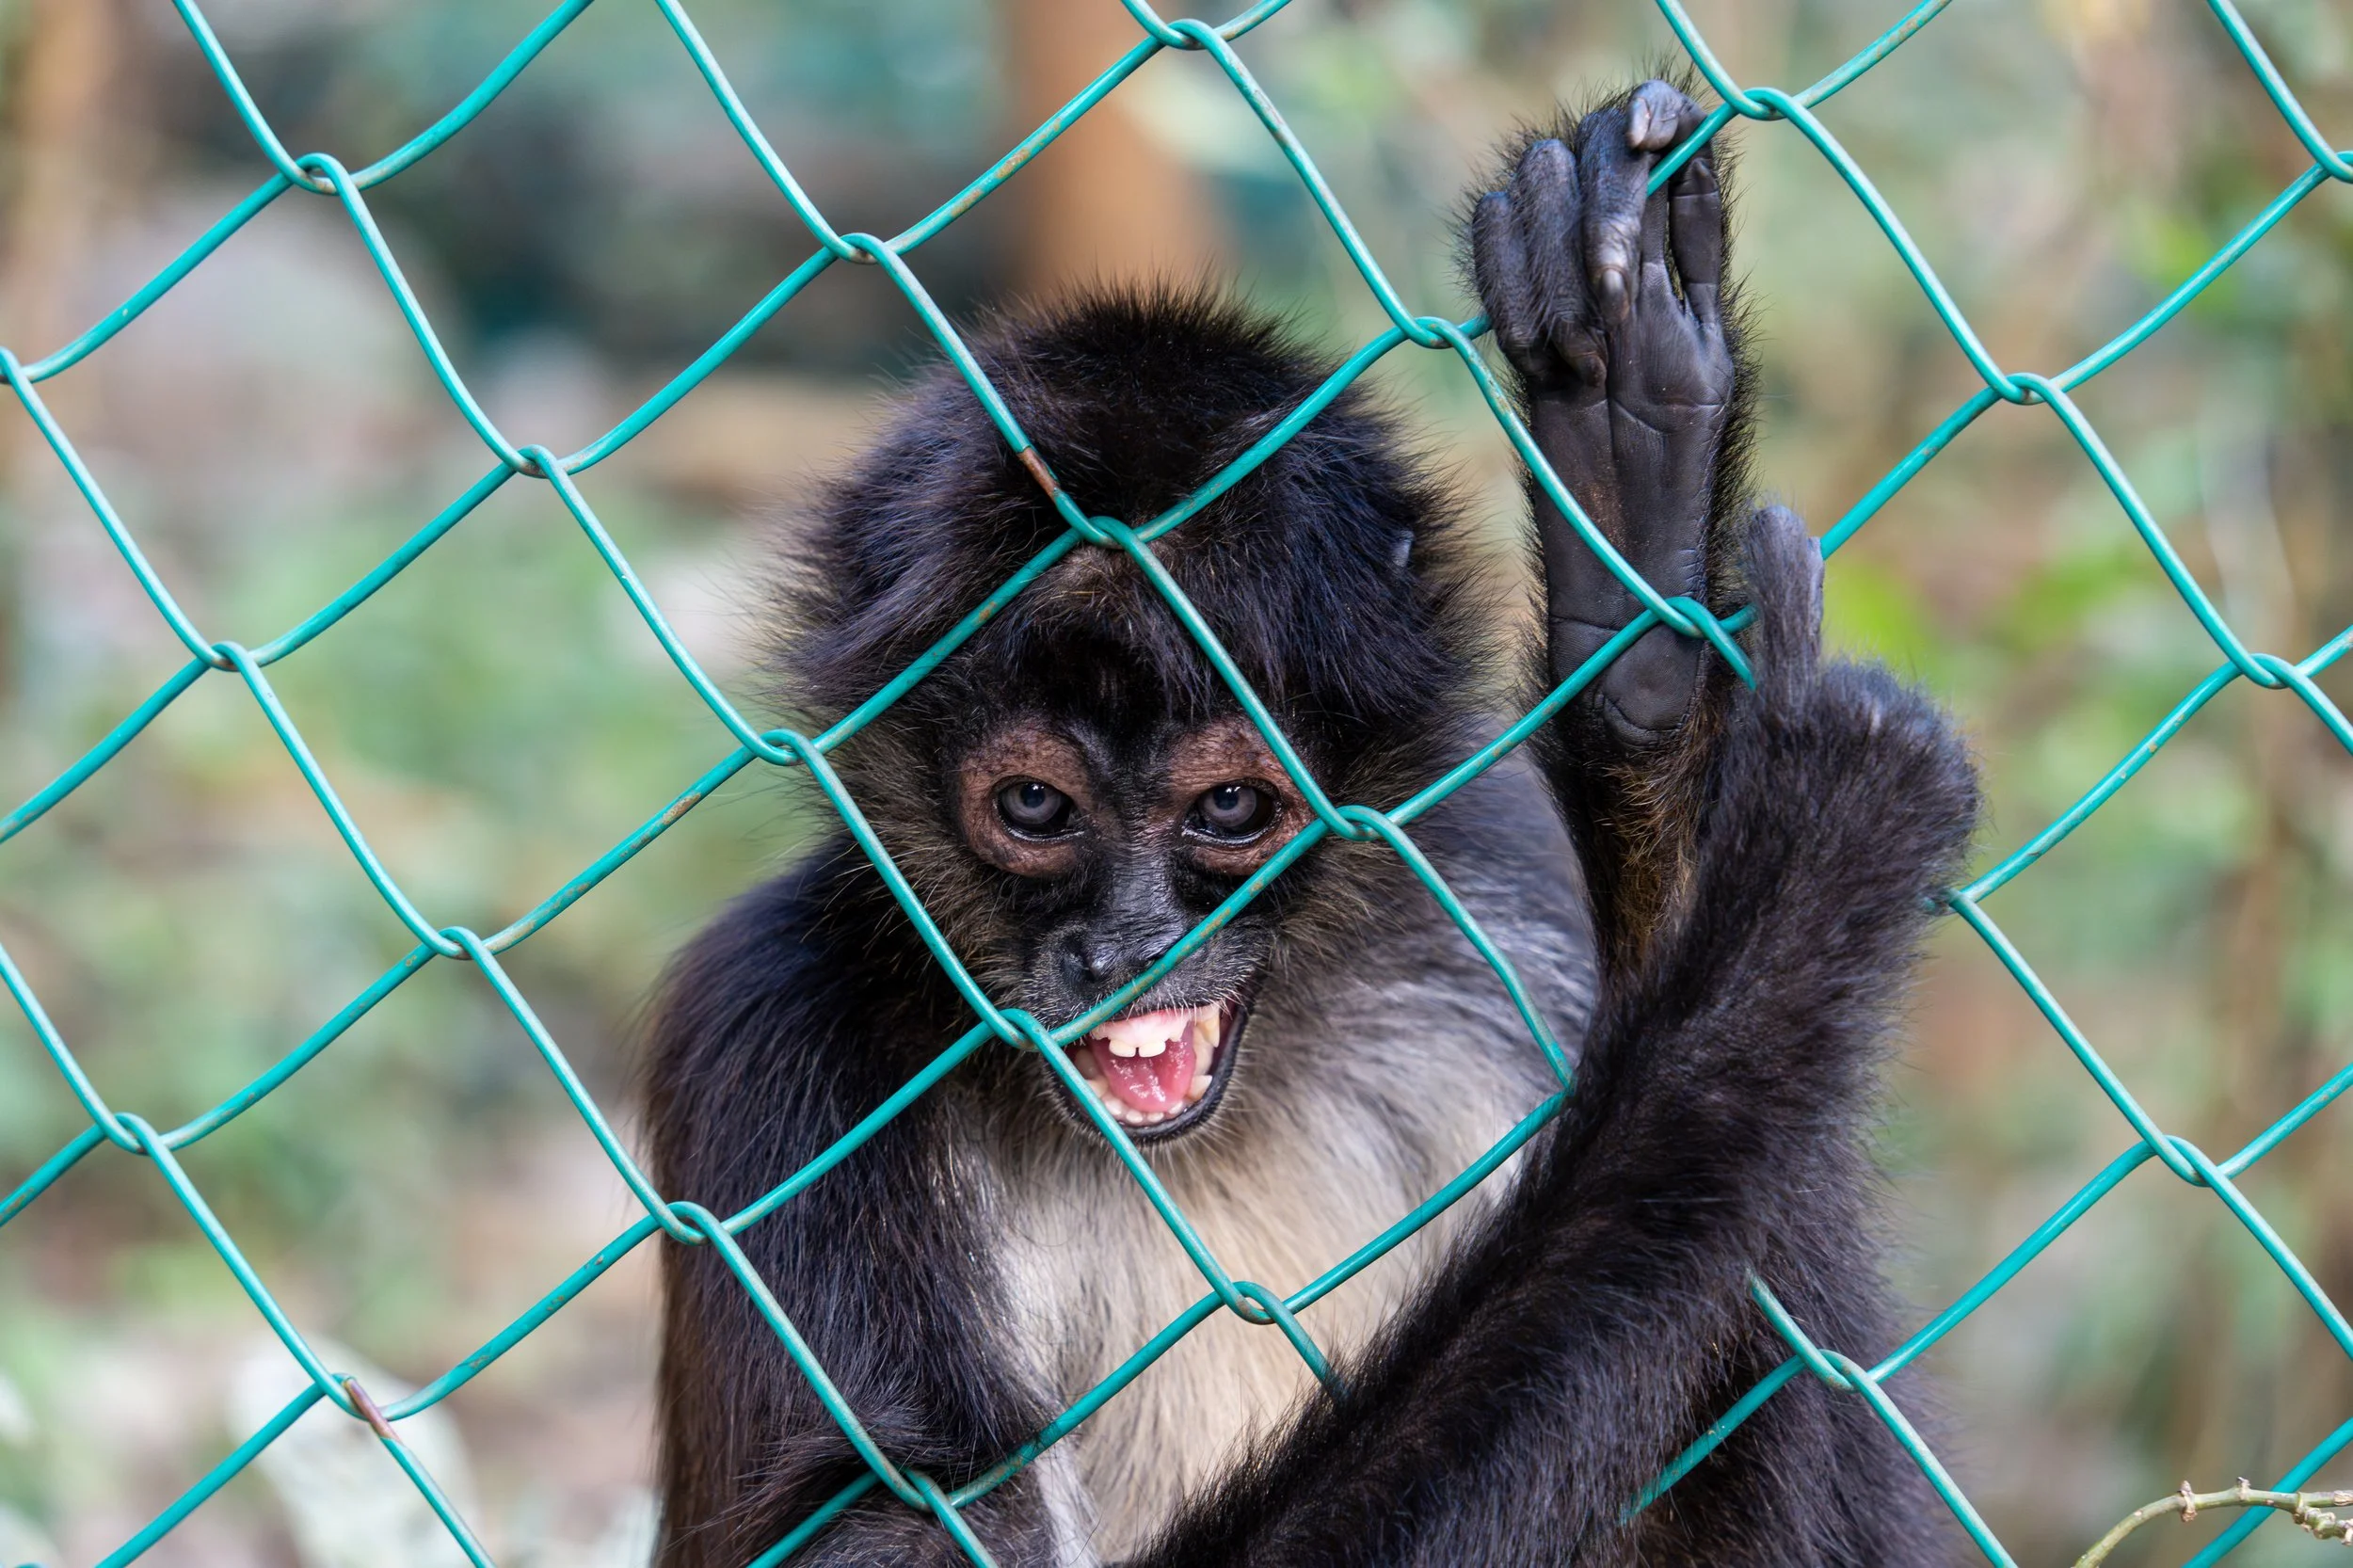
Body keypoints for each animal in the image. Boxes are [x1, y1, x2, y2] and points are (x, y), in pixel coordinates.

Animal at [643, 78, 1980, 1567]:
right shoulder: (779, 1028)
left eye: (1230, 805)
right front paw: (1790, 888)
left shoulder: (1500, 882)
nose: (1129, 951)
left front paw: (1647, 620)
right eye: (1034, 805)